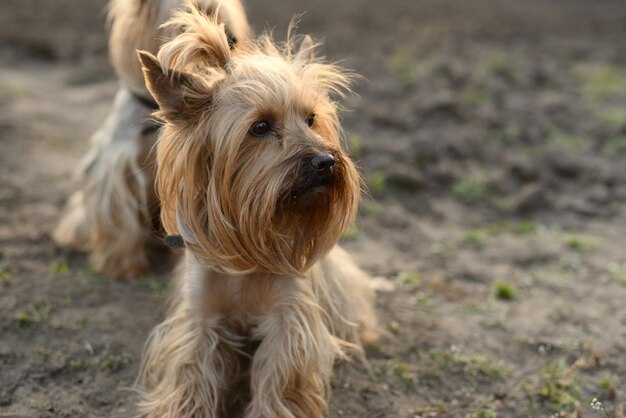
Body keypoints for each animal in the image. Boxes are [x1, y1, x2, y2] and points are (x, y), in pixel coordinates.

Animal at [53, 0, 249, 280]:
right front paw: (124, 266)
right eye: (186, 18)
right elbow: (119, 218)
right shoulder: (119, 171)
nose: (231, 39)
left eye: (220, 16)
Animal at [135, 4, 380, 416]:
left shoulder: (289, 318)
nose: (326, 161)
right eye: (261, 127)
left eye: (311, 119)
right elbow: (192, 372)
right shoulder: (201, 317)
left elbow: (280, 380)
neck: (249, 257)